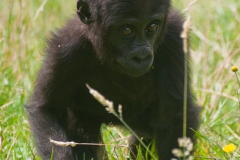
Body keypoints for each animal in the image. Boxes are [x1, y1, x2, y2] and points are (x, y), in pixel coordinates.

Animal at [24, 0, 201, 159]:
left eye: (152, 27)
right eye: (127, 30)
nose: (141, 56)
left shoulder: (174, 37)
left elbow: (173, 117)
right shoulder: (64, 48)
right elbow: (47, 108)